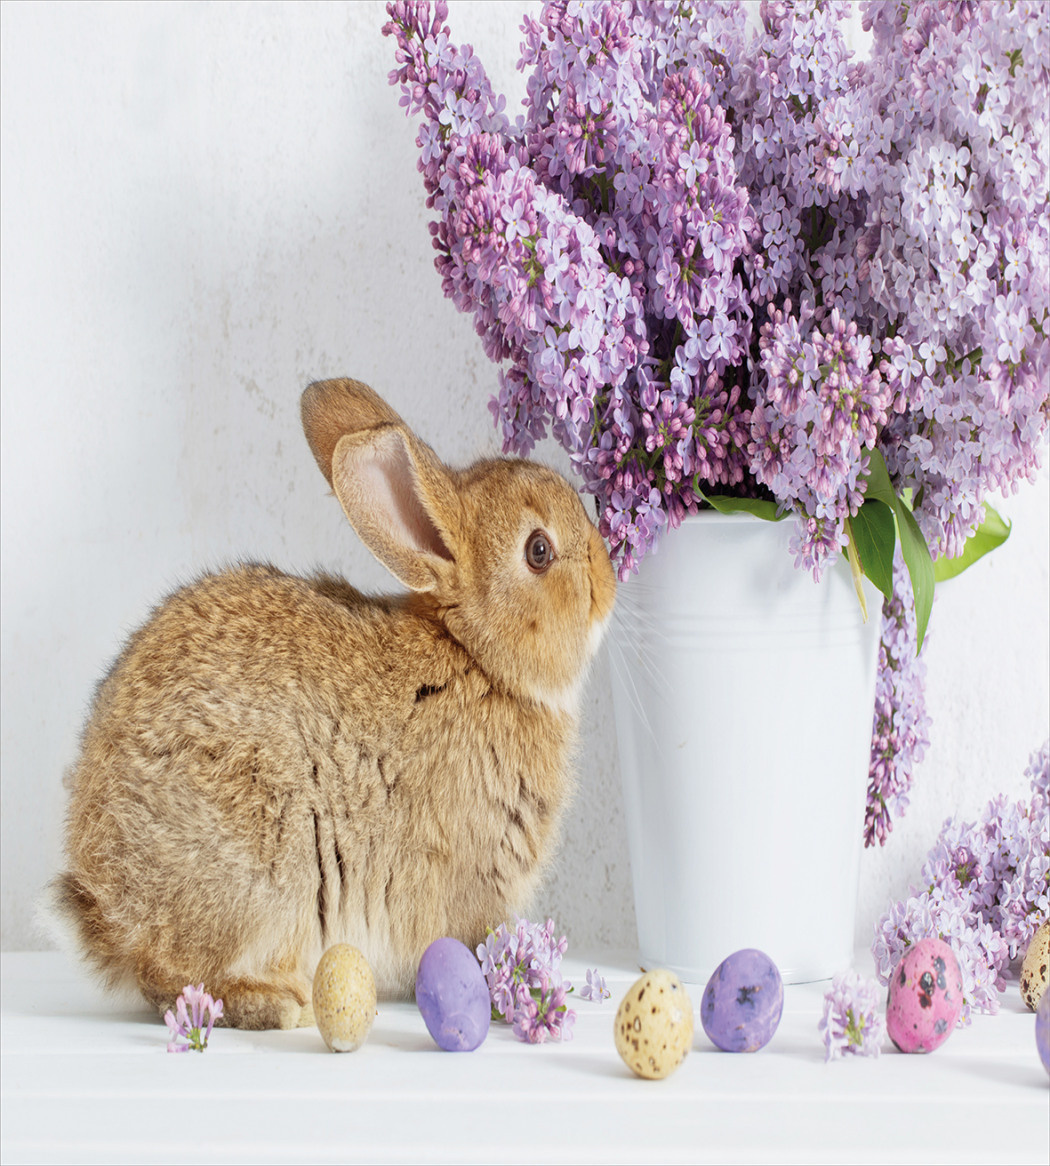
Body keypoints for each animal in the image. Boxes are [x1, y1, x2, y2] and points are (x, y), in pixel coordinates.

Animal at [53, 380, 615, 1030]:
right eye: (539, 550)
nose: (609, 574)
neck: (477, 657)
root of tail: (106, 909)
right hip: (265, 866)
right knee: (177, 980)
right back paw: (276, 1002)